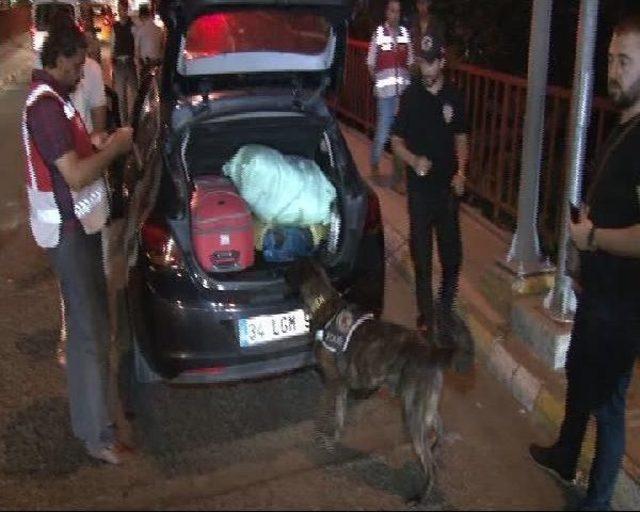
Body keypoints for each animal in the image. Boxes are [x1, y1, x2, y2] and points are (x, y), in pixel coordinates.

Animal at [284, 260, 476, 500]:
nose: (279, 272)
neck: (324, 302)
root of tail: (432, 350)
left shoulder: (333, 384)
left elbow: (324, 413)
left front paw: (321, 437)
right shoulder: (342, 387)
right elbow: (339, 417)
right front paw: (334, 438)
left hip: (412, 412)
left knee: (429, 462)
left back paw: (421, 495)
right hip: (425, 406)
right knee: (439, 430)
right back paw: (435, 451)